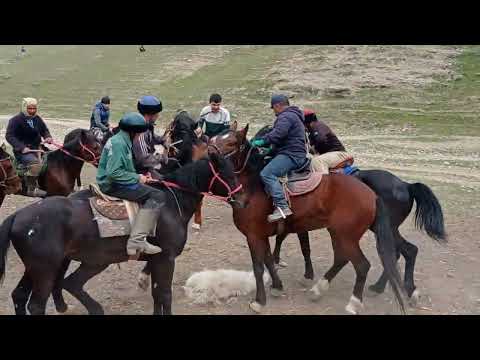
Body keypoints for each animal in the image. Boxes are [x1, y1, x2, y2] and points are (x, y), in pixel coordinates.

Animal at [0, 150, 246, 314]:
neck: (170, 203)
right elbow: (165, 295)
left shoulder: (156, 260)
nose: (242, 200)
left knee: (21, 295)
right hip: (48, 270)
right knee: (38, 302)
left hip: (41, 268)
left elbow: (157, 294)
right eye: (226, 173)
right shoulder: (166, 259)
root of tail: (18, 216)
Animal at [208, 125, 406, 314]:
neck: (253, 188)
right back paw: (319, 289)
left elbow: (258, 267)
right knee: (341, 258)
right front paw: (277, 286)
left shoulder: (253, 235)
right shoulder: (262, 235)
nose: (210, 152)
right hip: (338, 233)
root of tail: (371, 194)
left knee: (362, 266)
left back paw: (353, 304)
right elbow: (269, 260)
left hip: (347, 236)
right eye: (215, 138)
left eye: (231, 143)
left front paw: (259, 302)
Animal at [253, 126, 444, 304]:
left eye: (267, 131)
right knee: (403, 252)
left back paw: (386, 288)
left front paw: (304, 274)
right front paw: (279, 262)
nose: (255, 145)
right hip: (384, 229)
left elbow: (301, 245)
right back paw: (390, 288)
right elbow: (283, 237)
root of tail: (406, 185)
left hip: (383, 228)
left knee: (400, 252)